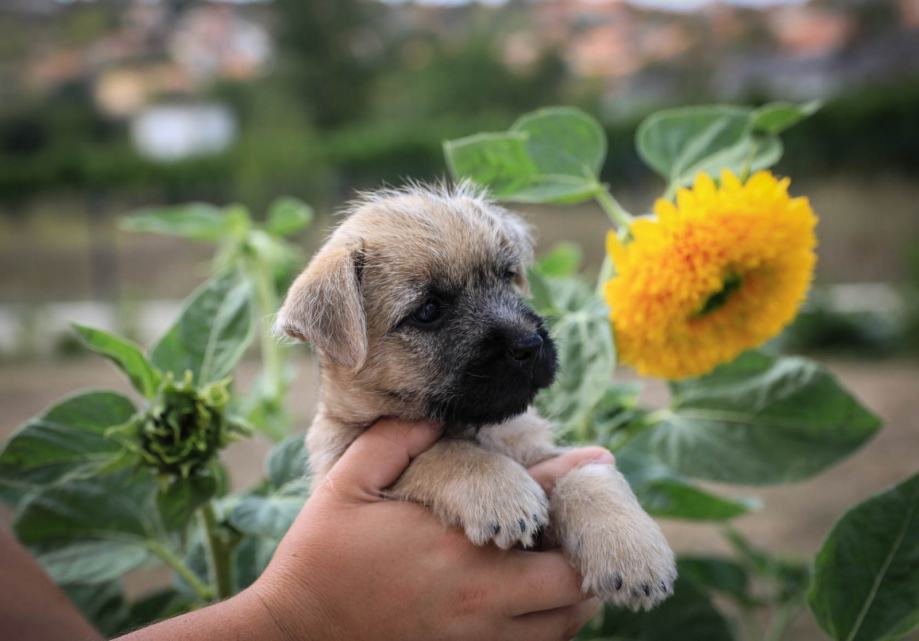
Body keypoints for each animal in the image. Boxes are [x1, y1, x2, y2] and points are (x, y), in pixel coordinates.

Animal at [274, 182, 676, 608]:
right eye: (428, 310)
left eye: (506, 276)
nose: (529, 343)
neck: (479, 427)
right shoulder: (349, 464)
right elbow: (442, 452)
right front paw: (500, 490)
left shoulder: (544, 453)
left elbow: (585, 474)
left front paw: (631, 550)